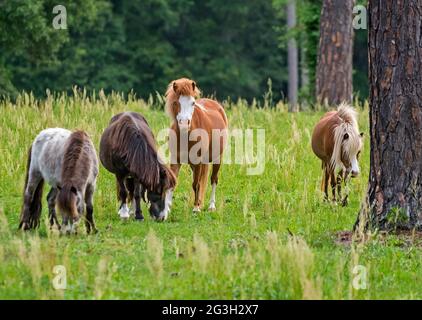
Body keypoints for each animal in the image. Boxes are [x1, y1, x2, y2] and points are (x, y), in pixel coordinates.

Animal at [166, 77, 231, 212]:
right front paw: (167, 208)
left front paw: (196, 208)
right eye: (176, 102)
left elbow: (196, 184)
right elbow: (173, 183)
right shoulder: (175, 160)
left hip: (217, 158)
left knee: (213, 179)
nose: (184, 124)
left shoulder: (198, 161)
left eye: (192, 103)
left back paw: (211, 206)